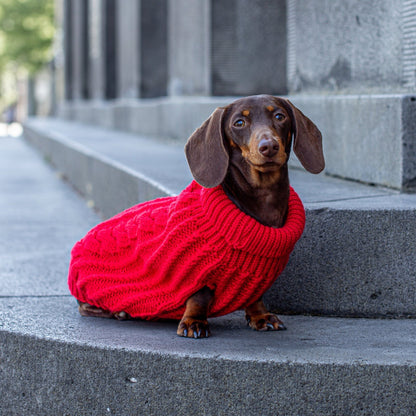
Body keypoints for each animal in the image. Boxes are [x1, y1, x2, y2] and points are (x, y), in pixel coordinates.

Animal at [79, 94, 324, 338]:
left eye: (280, 116)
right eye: (239, 123)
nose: (269, 146)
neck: (263, 196)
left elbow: (255, 296)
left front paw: (261, 316)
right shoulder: (197, 272)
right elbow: (199, 297)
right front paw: (193, 322)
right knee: (84, 306)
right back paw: (117, 312)